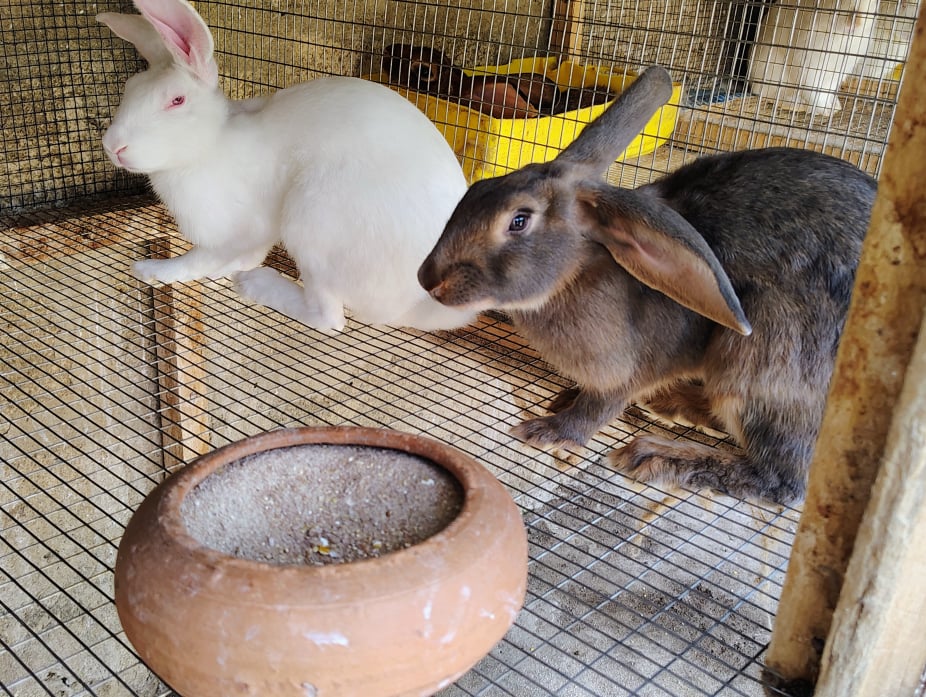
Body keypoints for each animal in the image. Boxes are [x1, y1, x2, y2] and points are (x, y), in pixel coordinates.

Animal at [97, 0, 477, 332]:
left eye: (176, 100)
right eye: (130, 88)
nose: (113, 145)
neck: (209, 147)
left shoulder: (237, 229)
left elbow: (198, 258)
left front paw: (153, 271)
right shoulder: (260, 233)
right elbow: (244, 254)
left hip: (312, 222)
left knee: (328, 318)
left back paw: (255, 284)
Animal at [418, 66, 876, 505]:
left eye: (518, 220)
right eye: (476, 190)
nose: (429, 279)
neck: (577, 271)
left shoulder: (630, 371)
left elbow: (600, 406)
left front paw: (550, 430)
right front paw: (564, 398)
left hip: (761, 366)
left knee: (781, 480)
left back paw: (656, 454)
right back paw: (675, 406)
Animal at [748, 0, 878, 117]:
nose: (857, 21)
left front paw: (832, 108)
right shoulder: (809, 68)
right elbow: (815, 94)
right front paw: (825, 111)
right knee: (769, 93)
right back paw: (797, 103)